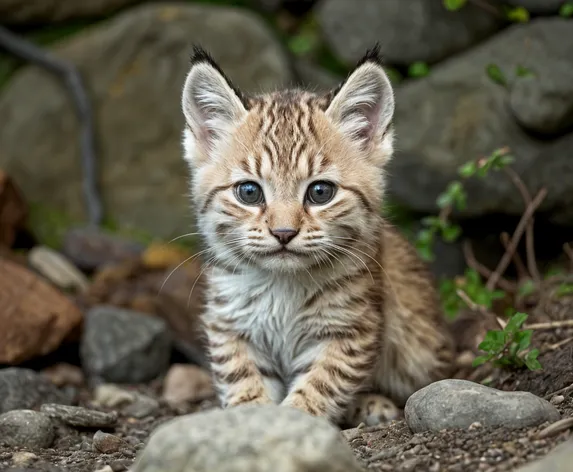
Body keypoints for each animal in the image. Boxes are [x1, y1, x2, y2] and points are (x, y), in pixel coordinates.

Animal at [181, 46, 454, 422]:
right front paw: (250, 419)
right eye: (249, 193)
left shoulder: (349, 328)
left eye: (320, 192)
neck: (281, 286)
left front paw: (295, 419)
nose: (283, 233)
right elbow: (242, 377)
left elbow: (322, 383)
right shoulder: (231, 324)